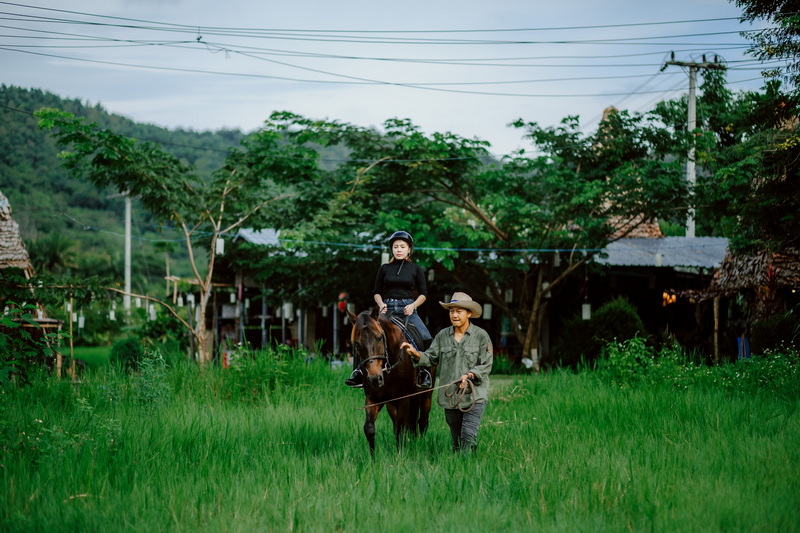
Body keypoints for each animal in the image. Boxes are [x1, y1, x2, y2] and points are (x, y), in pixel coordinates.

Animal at [346, 308, 434, 454]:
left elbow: (401, 430)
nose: (375, 378)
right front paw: (373, 457)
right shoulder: (373, 398)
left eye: (379, 337)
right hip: (392, 404)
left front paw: (400, 455)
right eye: (357, 343)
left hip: (425, 395)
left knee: (422, 422)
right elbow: (369, 428)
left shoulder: (403, 399)